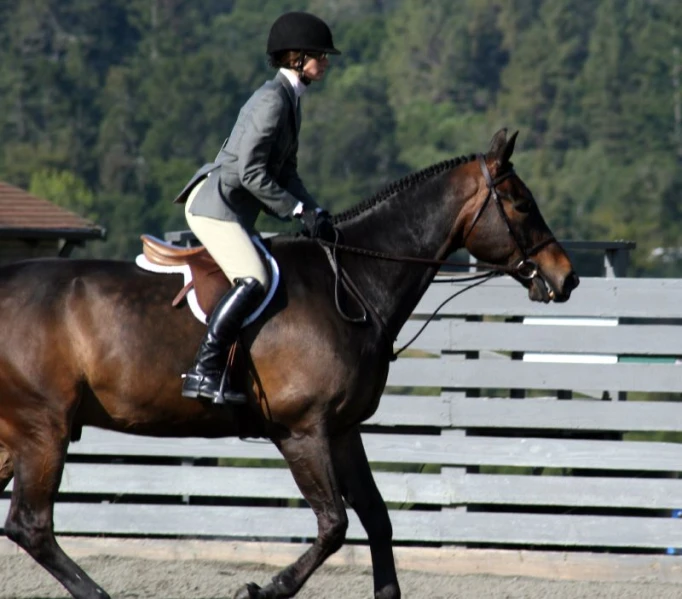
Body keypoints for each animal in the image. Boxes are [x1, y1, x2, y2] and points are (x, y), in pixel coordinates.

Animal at [0, 131, 576, 599]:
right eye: (520, 204)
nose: (566, 277)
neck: (351, 283)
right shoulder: (302, 430)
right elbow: (334, 525)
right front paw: (263, 588)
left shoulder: (342, 430)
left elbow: (377, 519)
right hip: (43, 428)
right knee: (31, 524)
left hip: (20, 434)